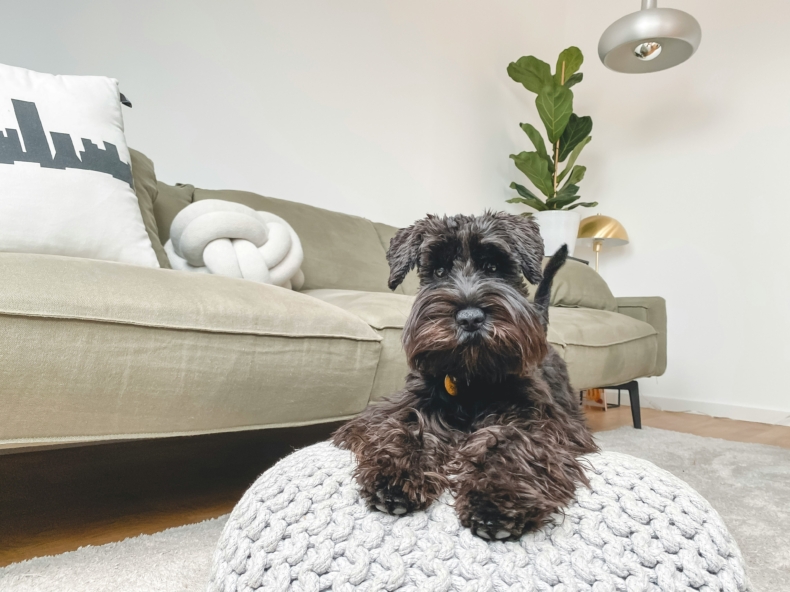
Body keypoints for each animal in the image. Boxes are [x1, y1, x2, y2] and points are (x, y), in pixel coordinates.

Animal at [334, 213, 600, 540]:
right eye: (438, 271)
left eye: (494, 267)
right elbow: (407, 427)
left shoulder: (541, 421)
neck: (474, 378)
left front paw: (497, 499)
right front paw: (395, 475)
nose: (470, 318)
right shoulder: (402, 408)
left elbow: (512, 441)